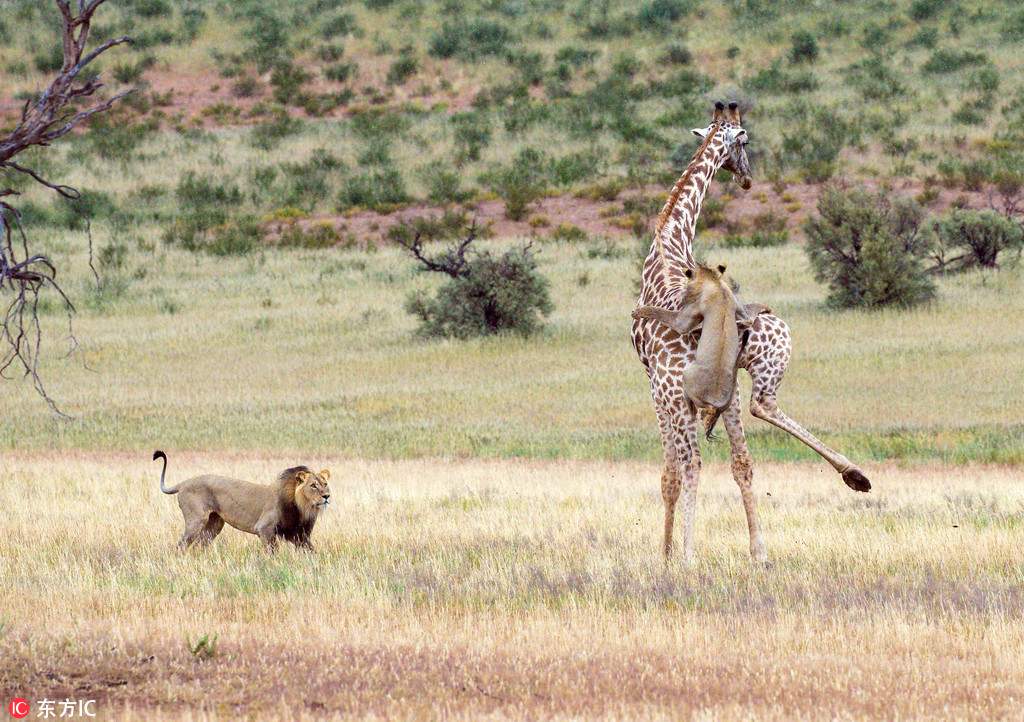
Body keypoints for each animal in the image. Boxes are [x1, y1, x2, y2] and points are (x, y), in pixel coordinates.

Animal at [151, 450, 331, 553]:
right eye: (313, 486)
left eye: (325, 484)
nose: (327, 496)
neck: (303, 507)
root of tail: (184, 483)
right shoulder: (264, 528)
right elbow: (272, 551)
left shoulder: (300, 534)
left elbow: (311, 551)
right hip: (196, 520)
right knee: (181, 546)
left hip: (215, 524)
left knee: (199, 545)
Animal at [634, 101, 868, 565]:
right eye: (745, 143)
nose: (746, 178)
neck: (670, 241)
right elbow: (734, 463)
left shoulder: (655, 387)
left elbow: (670, 475)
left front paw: (667, 554)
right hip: (737, 371)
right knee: (750, 430)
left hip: (700, 384)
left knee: (698, 458)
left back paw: (689, 556)